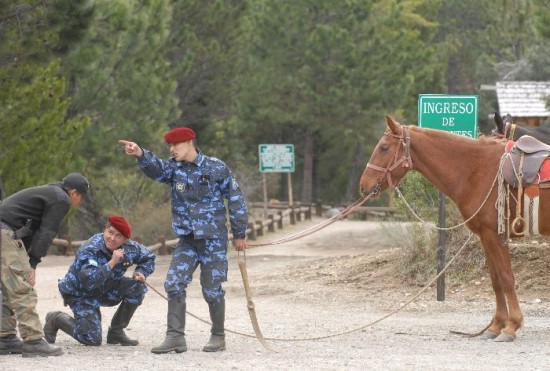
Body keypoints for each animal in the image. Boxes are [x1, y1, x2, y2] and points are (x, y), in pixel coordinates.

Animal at [360, 115, 524, 342]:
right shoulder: (485, 236)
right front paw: (495, 326)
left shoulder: (495, 235)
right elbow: (496, 279)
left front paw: (511, 326)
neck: (477, 169)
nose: (363, 186)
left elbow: (507, 277)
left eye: (384, 148)